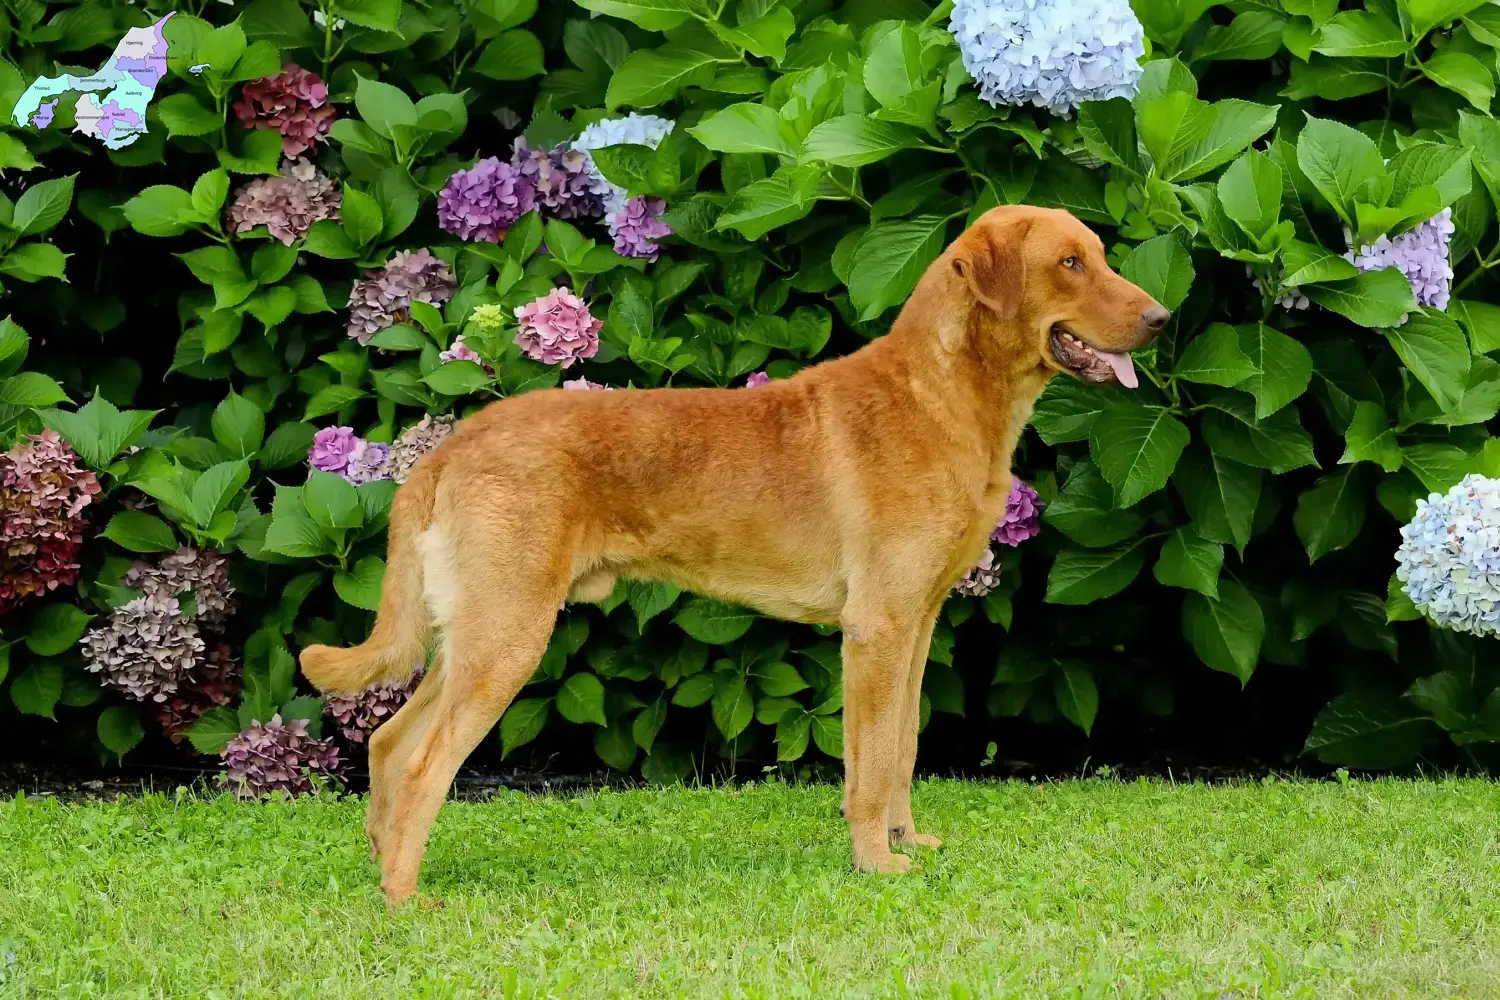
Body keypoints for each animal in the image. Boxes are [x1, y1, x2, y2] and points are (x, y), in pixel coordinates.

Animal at [298, 205, 1164, 905]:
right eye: (1069, 262)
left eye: (1098, 254)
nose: (1160, 318)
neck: (941, 396)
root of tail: (449, 449)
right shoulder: (877, 628)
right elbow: (871, 764)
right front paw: (877, 863)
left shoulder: (916, 625)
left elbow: (904, 747)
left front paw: (907, 841)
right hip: (507, 636)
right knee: (424, 763)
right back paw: (405, 897)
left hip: (471, 634)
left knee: (388, 741)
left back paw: (383, 865)